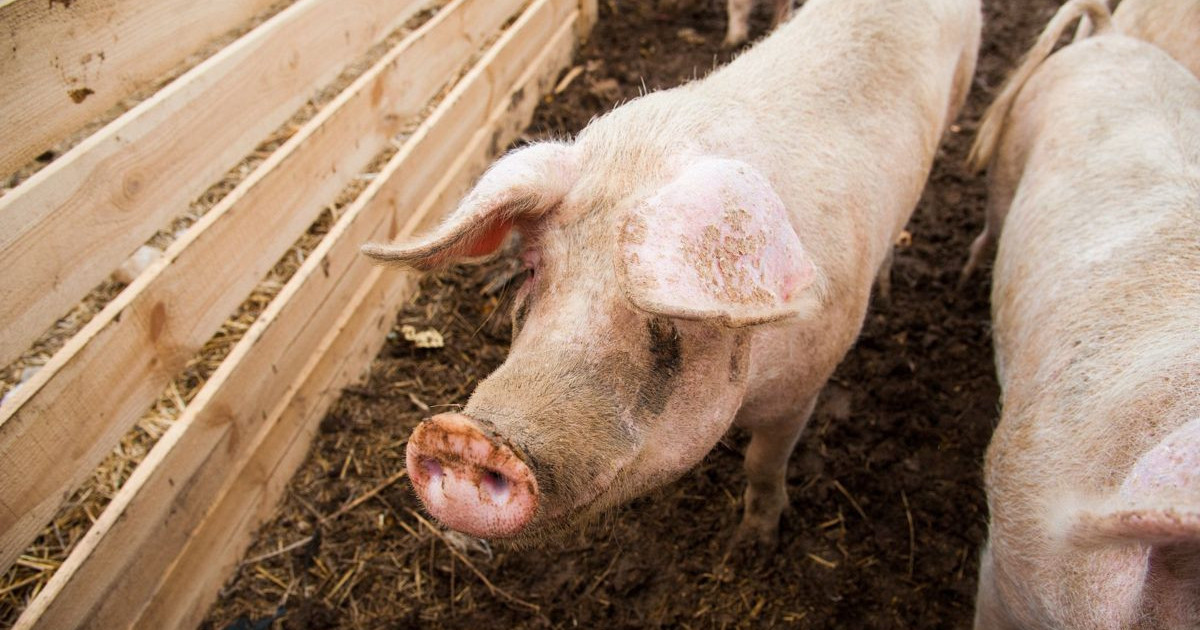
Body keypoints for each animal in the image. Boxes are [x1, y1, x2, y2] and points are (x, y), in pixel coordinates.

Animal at [363, 0, 980, 547]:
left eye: (659, 307)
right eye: (534, 269)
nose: (466, 436)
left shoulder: (806, 383)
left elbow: (763, 462)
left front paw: (753, 545)